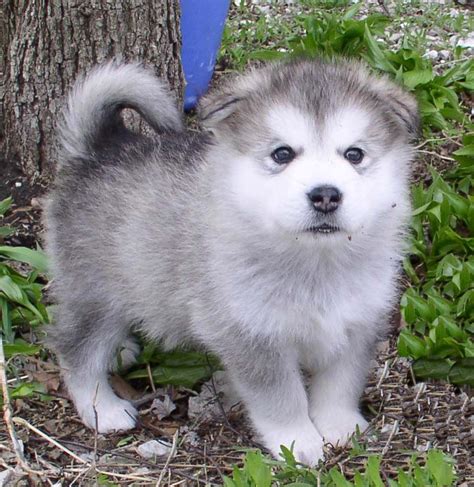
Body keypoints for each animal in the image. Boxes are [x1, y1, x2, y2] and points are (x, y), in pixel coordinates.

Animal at [46, 61, 418, 466]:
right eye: (282, 154)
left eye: (354, 155)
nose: (325, 195)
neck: (315, 264)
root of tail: (103, 148)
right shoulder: (252, 334)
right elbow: (282, 397)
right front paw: (297, 441)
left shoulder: (358, 322)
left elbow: (341, 382)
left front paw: (339, 425)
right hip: (95, 291)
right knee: (75, 351)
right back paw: (103, 407)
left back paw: (121, 350)